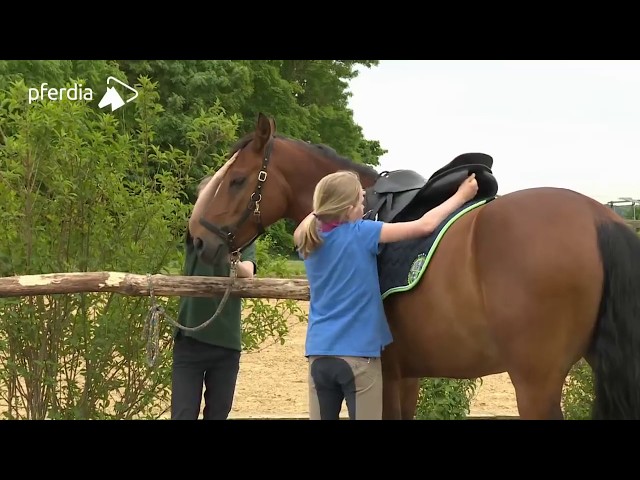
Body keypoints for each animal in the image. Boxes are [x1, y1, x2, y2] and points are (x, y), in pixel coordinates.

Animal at [188, 112, 640, 420]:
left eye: (237, 180)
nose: (197, 237)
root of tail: (598, 217)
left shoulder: (385, 375)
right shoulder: (407, 374)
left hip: (535, 382)